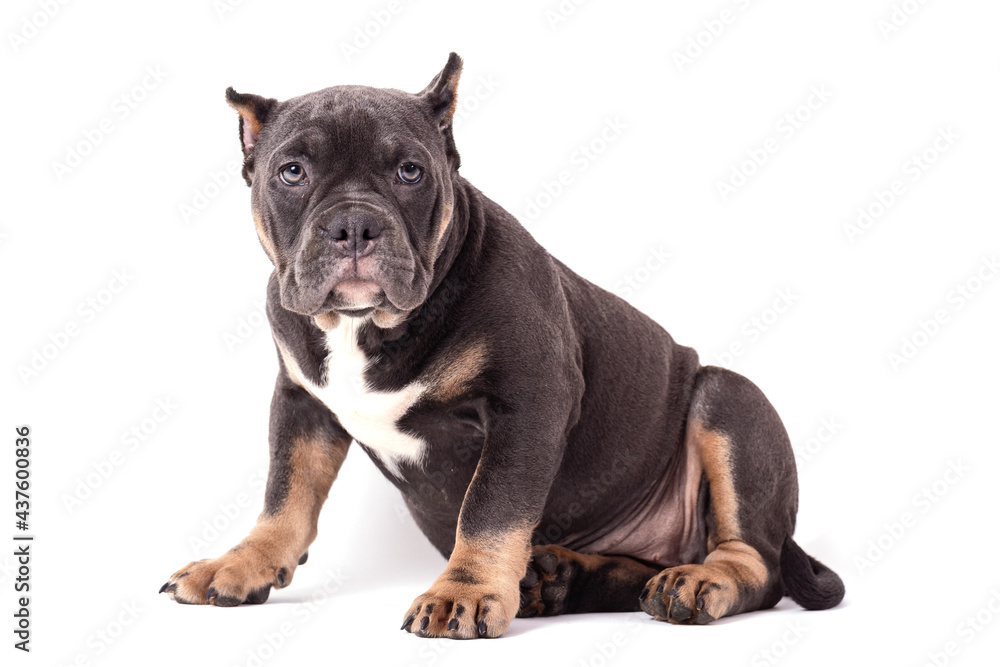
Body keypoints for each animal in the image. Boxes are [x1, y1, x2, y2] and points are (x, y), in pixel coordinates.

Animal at [158, 52, 844, 636]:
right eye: (292, 172)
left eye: (410, 172)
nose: (354, 224)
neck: (366, 325)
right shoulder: (301, 404)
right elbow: (285, 493)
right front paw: (241, 562)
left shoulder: (527, 404)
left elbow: (490, 507)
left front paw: (461, 592)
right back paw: (560, 580)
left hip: (728, 401)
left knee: (755, 562)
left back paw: (699, 583)